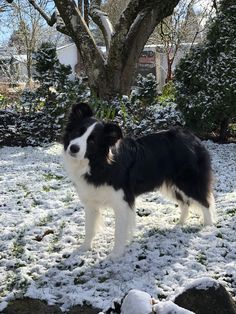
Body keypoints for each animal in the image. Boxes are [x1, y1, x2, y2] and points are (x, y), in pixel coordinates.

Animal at [62, 102, 216, 258]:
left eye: (92, 140)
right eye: (77, 132)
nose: (73, 148)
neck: (98, 163)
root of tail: (192, 136)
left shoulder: (122, 201)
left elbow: (119, 232)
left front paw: (115, 255)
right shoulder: (90, 200)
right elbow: (89, 228)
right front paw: (83, 248)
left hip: (188, 181)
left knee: (205, 201)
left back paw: (208, 226)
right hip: (172, 185)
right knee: (185, 203)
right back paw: (180, 224)